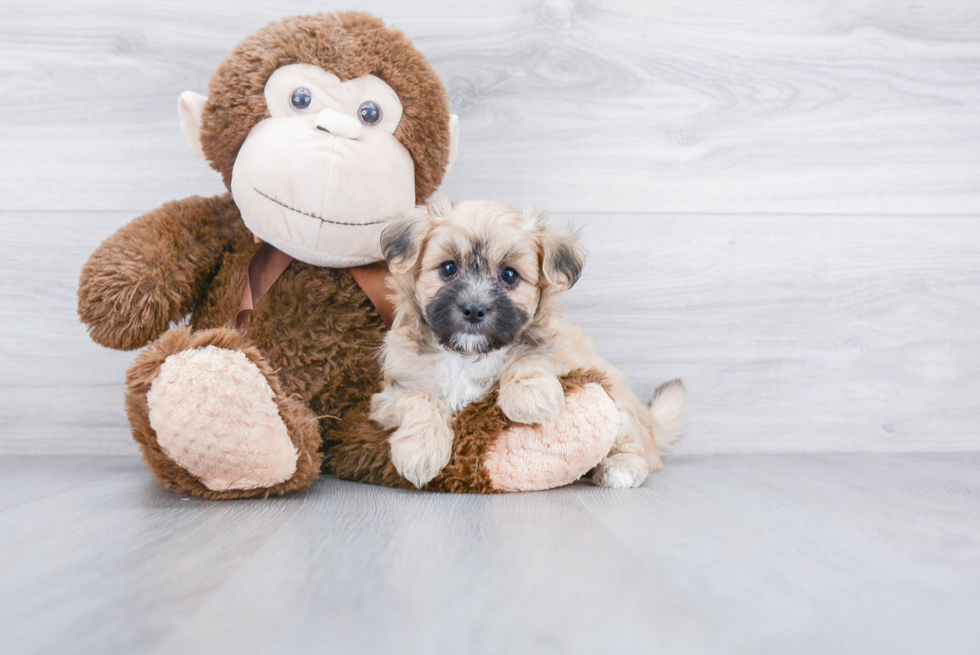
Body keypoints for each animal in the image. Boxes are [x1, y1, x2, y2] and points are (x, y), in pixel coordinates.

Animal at [372, 197, 684, 490]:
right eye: (448, 268)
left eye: (509, 275)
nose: (474, 309)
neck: (466, 356)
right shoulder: (391, 392)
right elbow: (418, 397)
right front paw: (420, 450)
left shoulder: (561, 354)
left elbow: (530, 357)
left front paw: (529, 396)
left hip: (618, 406)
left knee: (637, 450)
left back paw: (619, 469)